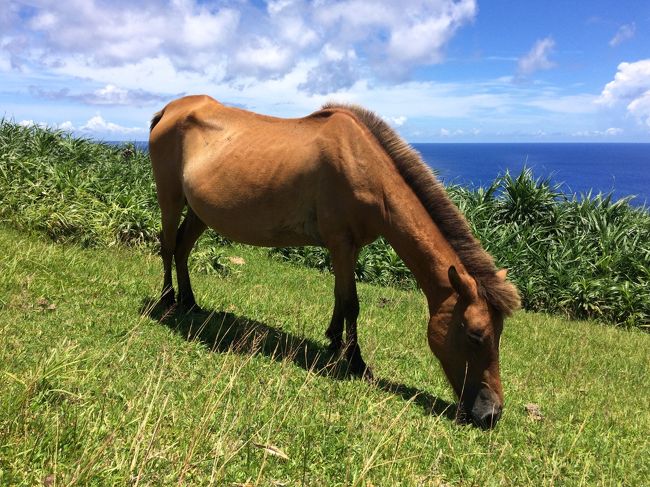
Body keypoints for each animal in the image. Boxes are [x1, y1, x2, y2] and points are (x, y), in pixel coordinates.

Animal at [149, 95, 520, 430]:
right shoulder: (341, 243)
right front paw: (356, 362)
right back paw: (168, 299)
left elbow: (341, 298)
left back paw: (189, 302)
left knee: (182, 249)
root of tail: (169, 109)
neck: (364, 166)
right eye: (475, 335)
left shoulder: (349, 248)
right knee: (168, 247)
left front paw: (334, 342)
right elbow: (352, 303)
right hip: (170, 198)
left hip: (199, 212)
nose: (492, 414)